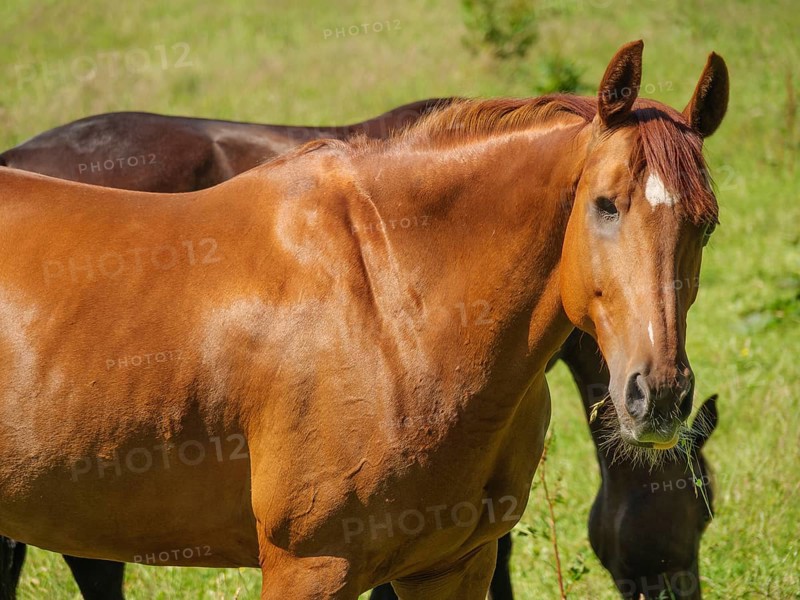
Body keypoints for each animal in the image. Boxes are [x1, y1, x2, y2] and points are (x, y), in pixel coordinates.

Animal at [0, 40, 728, 599]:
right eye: (605, 205)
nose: (661, 394)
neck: (393, 315)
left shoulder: (452, 563)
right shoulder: (311, 566)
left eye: (707, 224)